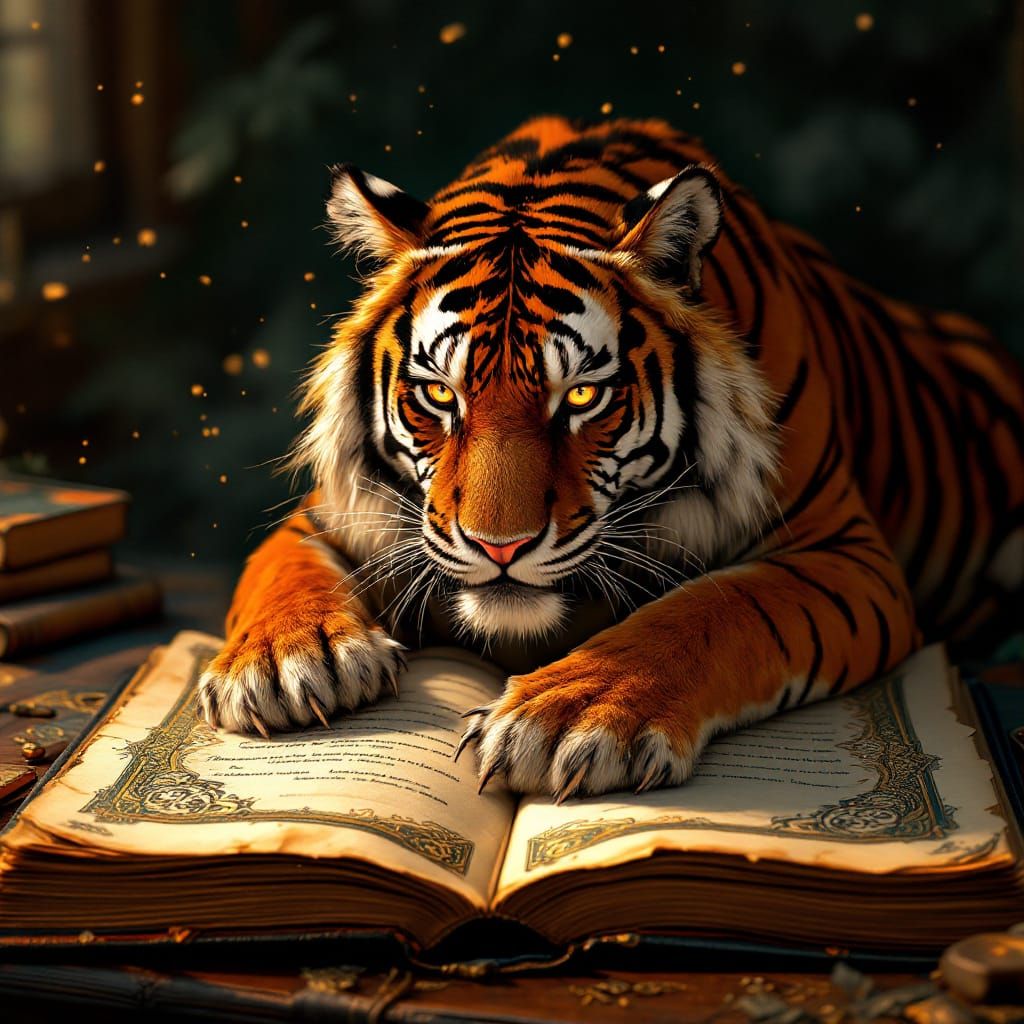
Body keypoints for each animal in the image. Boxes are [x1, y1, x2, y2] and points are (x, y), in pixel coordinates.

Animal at [197, 116, 1024, 801]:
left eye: (584, 398)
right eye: (439, 393)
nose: (499, 547)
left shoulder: (841, 550)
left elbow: (713, 609)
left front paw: (566, 718)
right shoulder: (335, 516)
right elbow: (276, 568)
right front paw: (282, 661)